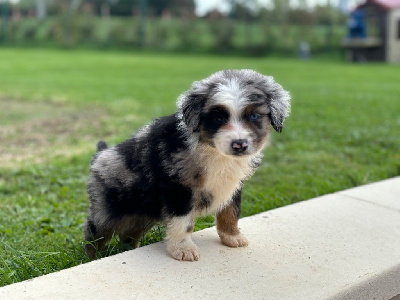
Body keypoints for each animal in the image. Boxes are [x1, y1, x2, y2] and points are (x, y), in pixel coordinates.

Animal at [84, 69, 290, 262]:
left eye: (254, 116)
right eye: (218, 118)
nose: (239, 144)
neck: (213, 151)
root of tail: (99, 154)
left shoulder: (232, 185)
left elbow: (231, 211)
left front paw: (232, 237)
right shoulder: (179, 188)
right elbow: (183, 221)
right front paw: (183, 249)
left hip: (141, 216)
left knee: (128, 235)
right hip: (106, 212)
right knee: (94, 234)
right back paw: (91, 258)